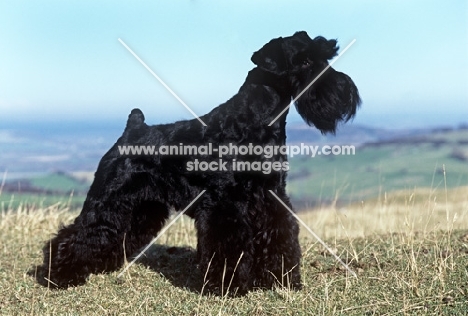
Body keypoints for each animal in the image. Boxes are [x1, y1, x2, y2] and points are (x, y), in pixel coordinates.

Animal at [39, 30, 362, 296]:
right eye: (305, 61)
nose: (346, 89)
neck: (253, 123)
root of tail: (132, 128)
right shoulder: (225, 203)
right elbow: (227, 245)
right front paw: (227, 286)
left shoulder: (272, 196)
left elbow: (280, 236)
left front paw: (279, 280)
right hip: (109, 200)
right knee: (77, 234)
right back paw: (59, 275)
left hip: (141, 209)